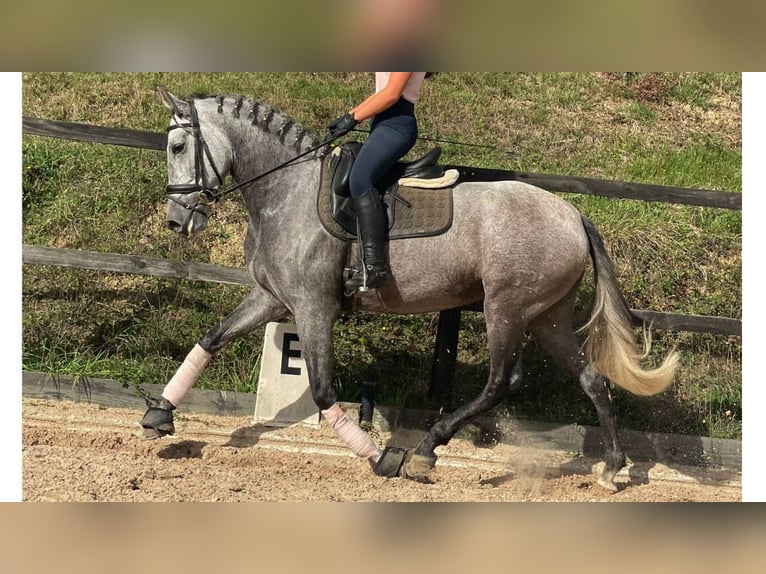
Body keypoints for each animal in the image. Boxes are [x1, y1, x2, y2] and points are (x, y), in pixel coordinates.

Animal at [142, 88, 680, 492]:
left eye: (176, 148)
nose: (176, 221)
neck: (286, 191)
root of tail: (572, 213)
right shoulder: (273, 299)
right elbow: (212, 339)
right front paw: (160, 414)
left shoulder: (314, 308)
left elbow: (321, 389)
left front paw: (381, 457)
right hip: (546, 317)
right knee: (591, 379)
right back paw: (611, 468)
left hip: (505, 307)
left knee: (501, 381)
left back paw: (425, 450)